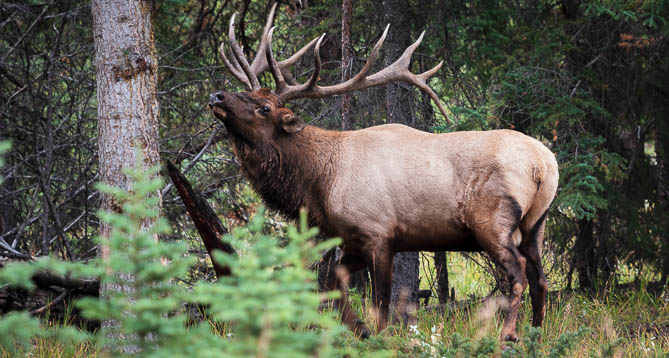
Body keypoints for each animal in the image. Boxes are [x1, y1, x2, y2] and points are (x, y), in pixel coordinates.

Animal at [209, 3, 560, 344]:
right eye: (245, 94)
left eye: (264, 108)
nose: (217, 95)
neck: (320, 183)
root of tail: (543, 164)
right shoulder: (352, 239)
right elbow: (332, 286)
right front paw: (359, 329)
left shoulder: (378, 233)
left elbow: (381, 304)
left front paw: (376, 337)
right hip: (535, 224)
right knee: (541, 279)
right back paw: (537, 334)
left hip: (491, 220)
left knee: (518, 273)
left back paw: (509, 335)